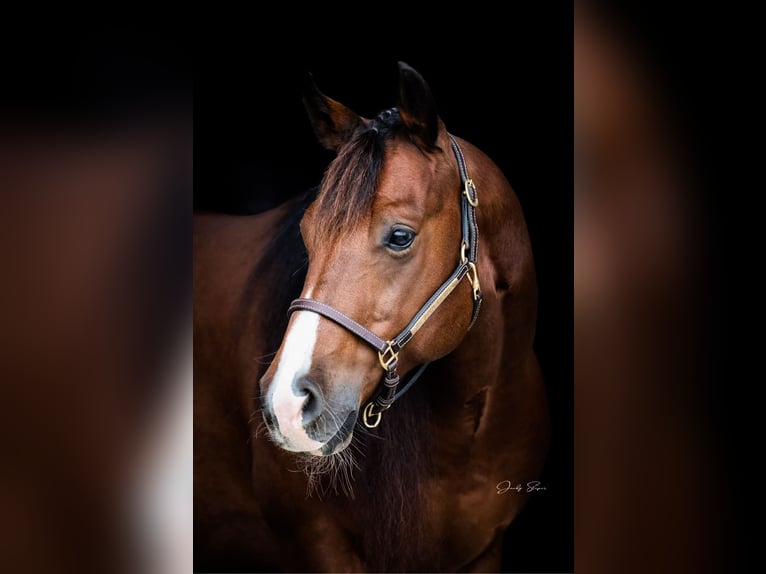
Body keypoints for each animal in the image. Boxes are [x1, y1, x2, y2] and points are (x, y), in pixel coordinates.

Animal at [195, 60, 548, 572]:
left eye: (400, 236)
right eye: (307, 231)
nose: (287, 403)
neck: (467, 434)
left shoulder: (486, 550)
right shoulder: (319, 544)